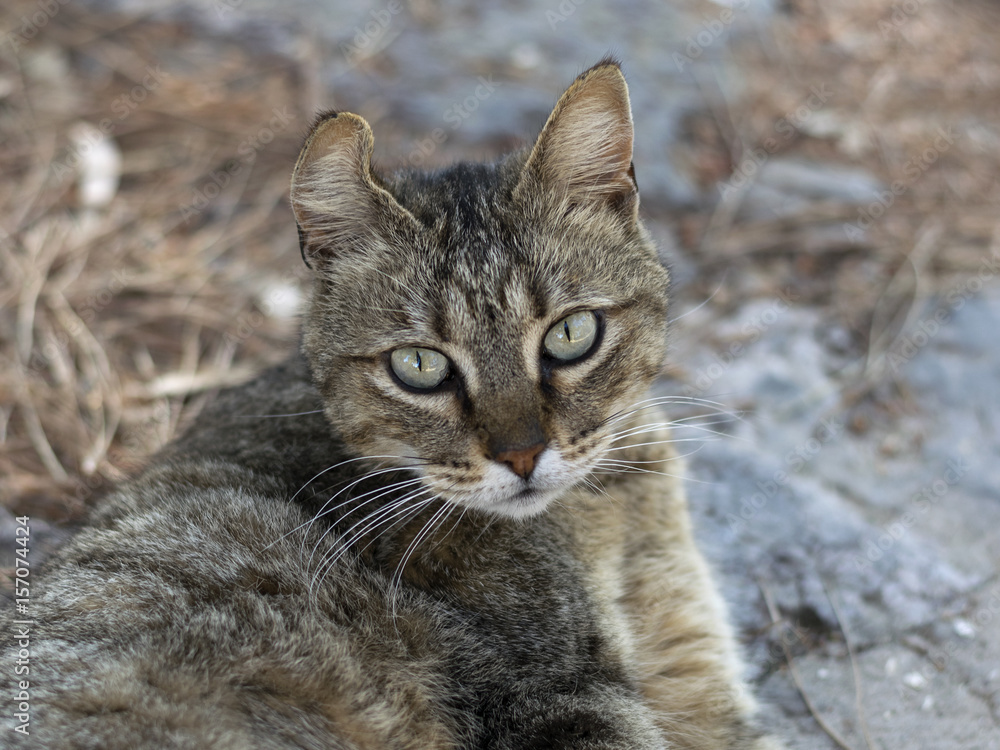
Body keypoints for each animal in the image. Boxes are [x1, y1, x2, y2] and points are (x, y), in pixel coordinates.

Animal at [0, 60, 784, 750]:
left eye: (570, 334)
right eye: (420, 367)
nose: (523, 455)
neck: (612, 511)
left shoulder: (697, 672)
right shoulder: (558, 697)